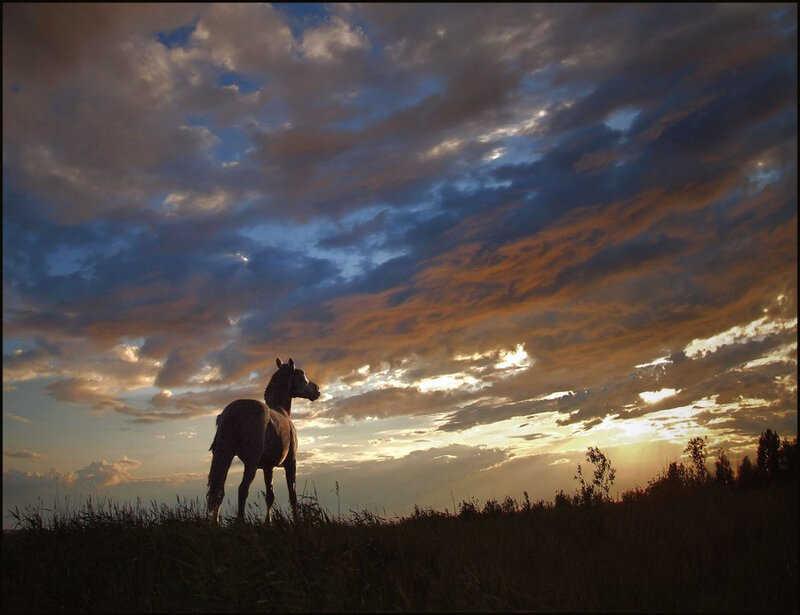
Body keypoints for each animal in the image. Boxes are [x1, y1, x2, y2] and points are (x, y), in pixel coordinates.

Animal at [206, 357, 320, 523]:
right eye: (302, 375)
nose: (317, 389)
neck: (282, 412)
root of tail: (234, 410)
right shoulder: (291, 463)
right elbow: (292, 495)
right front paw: (297, 521)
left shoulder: (268, 467)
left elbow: (270, 496)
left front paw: (268, 523)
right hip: (250, 464)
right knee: (242, 489)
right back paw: (240, 522)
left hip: (226, 456)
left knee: (219, 491)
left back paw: (215, 523)